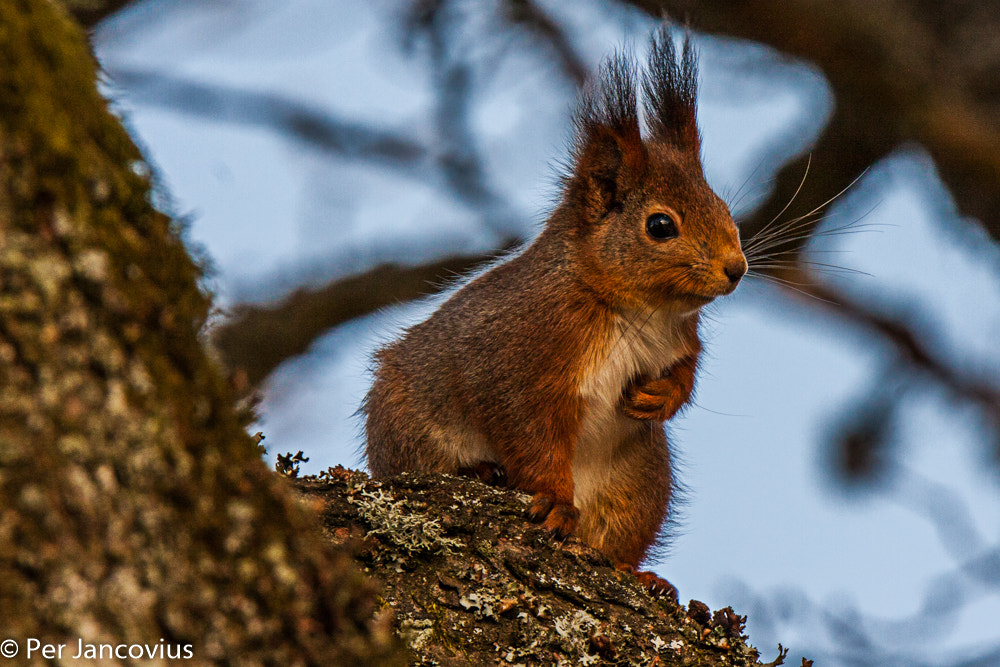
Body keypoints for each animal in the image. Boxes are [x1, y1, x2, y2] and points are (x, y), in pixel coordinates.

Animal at [364, 28, 748, 596]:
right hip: (406, 427)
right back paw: (484, 476)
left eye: (722, 206)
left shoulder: (683, 336)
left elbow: (686, 369)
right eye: (660, 226)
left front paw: (660, 396)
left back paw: (638, 573)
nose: (736, 268)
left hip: (640, 479)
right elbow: (530, 433)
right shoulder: (521, 358)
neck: (639, 309)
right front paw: (554, 504)